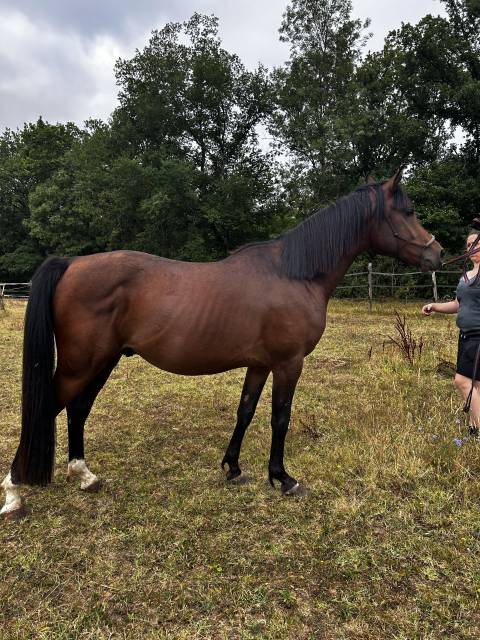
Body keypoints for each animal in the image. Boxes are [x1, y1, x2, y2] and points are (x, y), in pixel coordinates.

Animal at [1, 169, 443, 519]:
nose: (437, 253)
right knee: (46, 410)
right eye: (408, 211)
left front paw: (233, 468)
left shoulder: (260, 364)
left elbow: (245, 412)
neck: (294, 274)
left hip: (102, 361)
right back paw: (14, 494)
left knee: (78, 409)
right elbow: (279, 418)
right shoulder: (288, 362)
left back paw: (84, 475)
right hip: (80, 364)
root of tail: (71, 263)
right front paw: (283, 478)